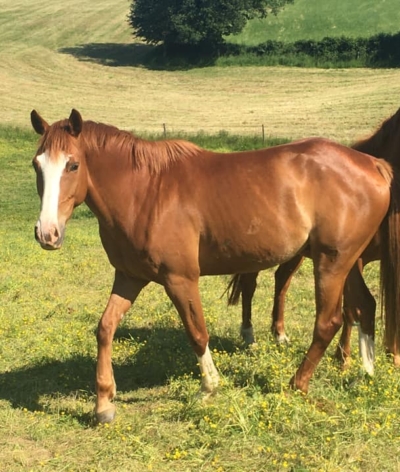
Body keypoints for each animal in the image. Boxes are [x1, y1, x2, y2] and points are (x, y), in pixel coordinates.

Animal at [228, 107, 400, 372]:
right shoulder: (355, 260)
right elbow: (351, 309)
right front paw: (343, 357)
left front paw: (392, 355)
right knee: (250, 285)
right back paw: (249, 335)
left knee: (282, 281)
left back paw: (279, 333)